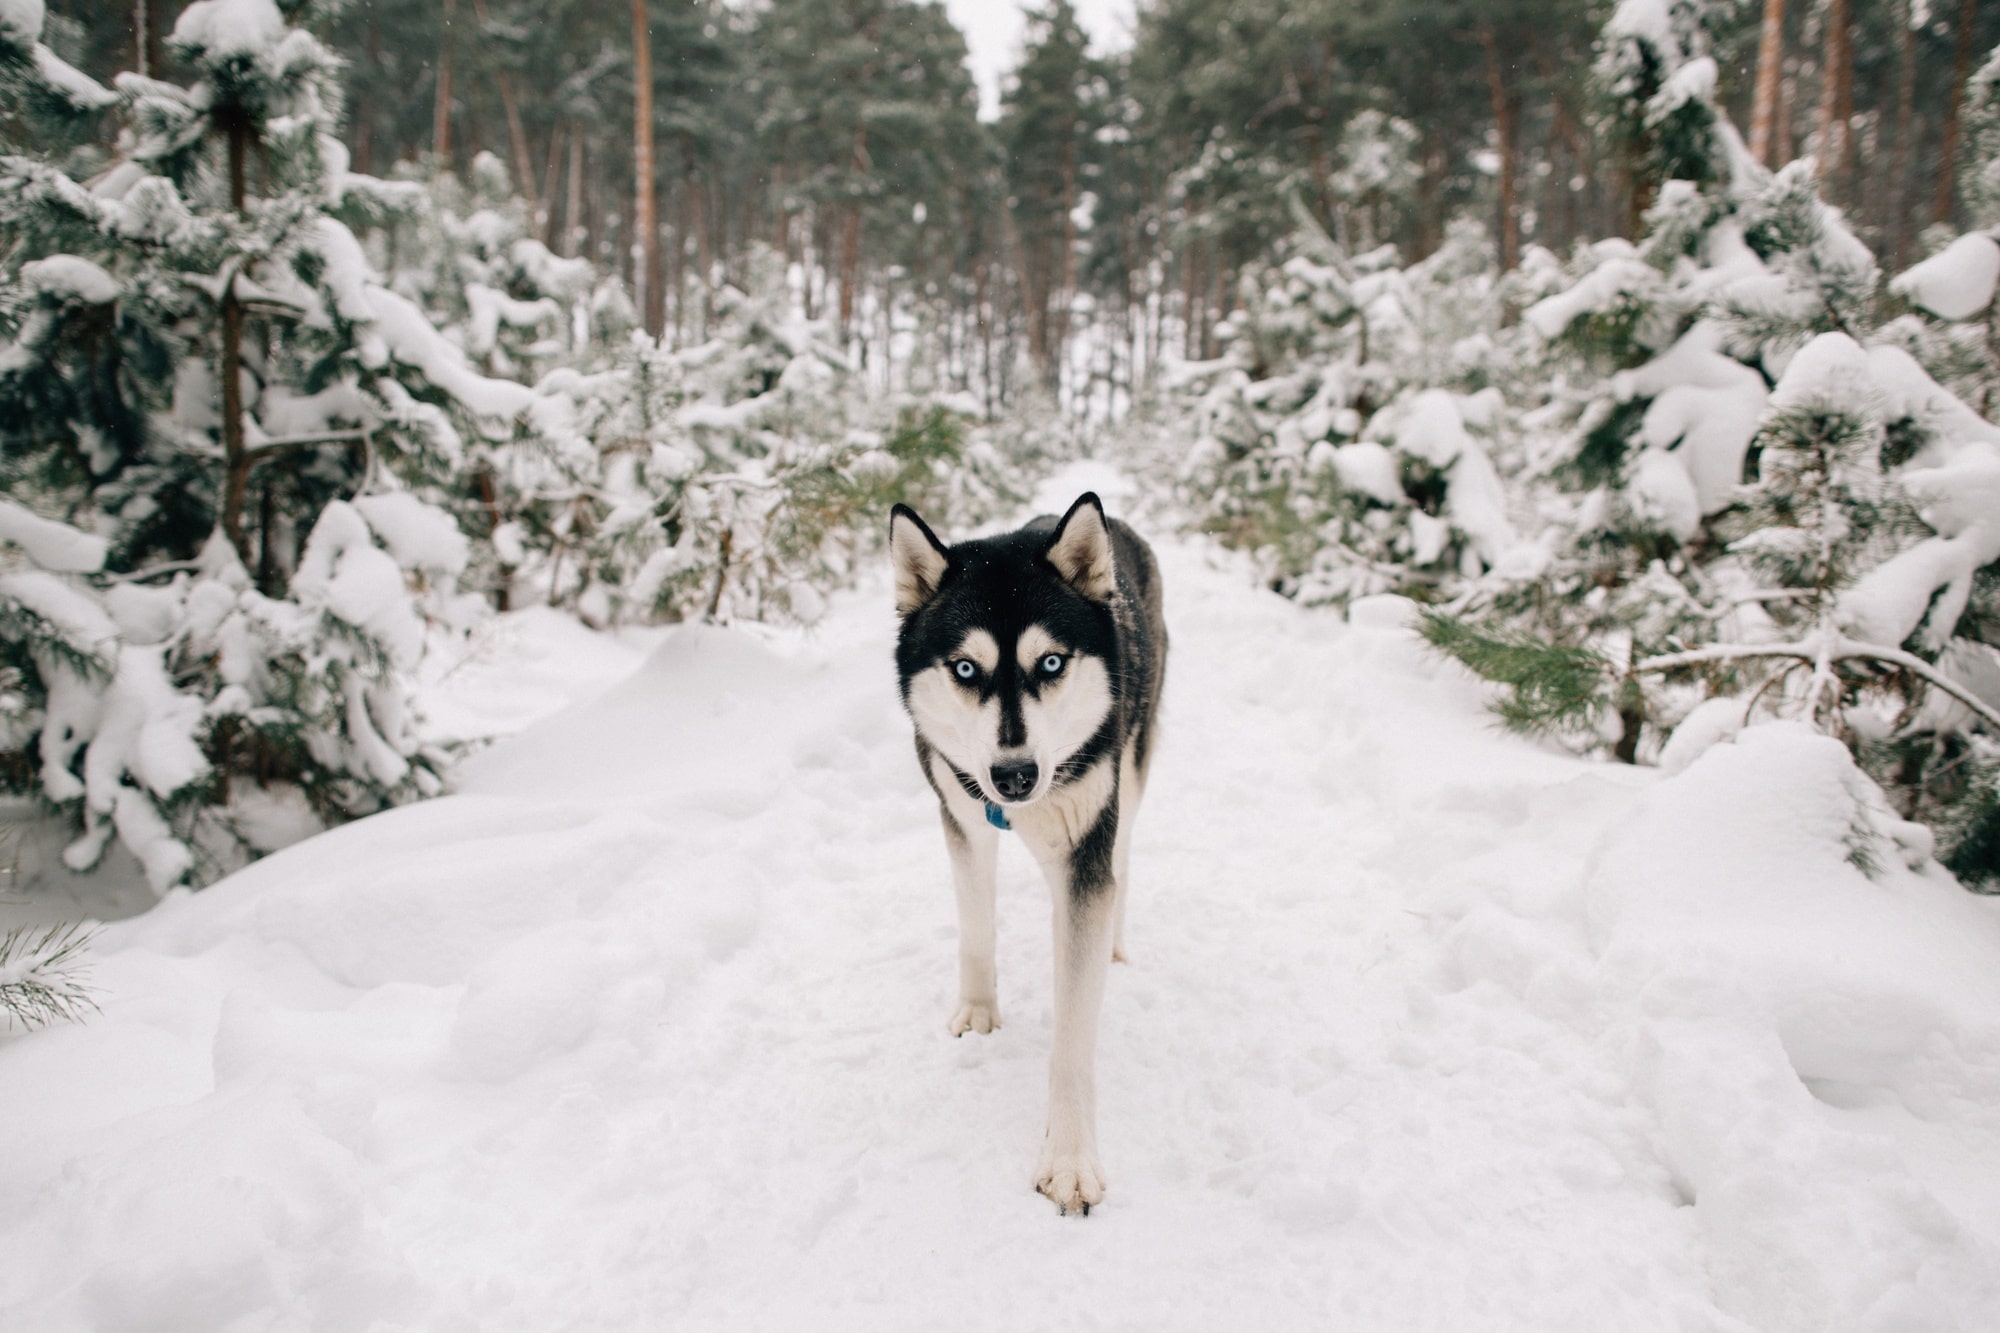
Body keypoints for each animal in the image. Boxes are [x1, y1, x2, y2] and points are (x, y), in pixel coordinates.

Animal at [896, 490, 1168, 1216]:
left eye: (1050, 662)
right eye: (965, 668)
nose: (1014, 776)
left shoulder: (1085, 852)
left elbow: (1071, 1038)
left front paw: (1068, 1160)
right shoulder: (961, 816)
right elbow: (975, 927)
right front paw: (978, 1010)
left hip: (1132, 769)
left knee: (1123, 860)